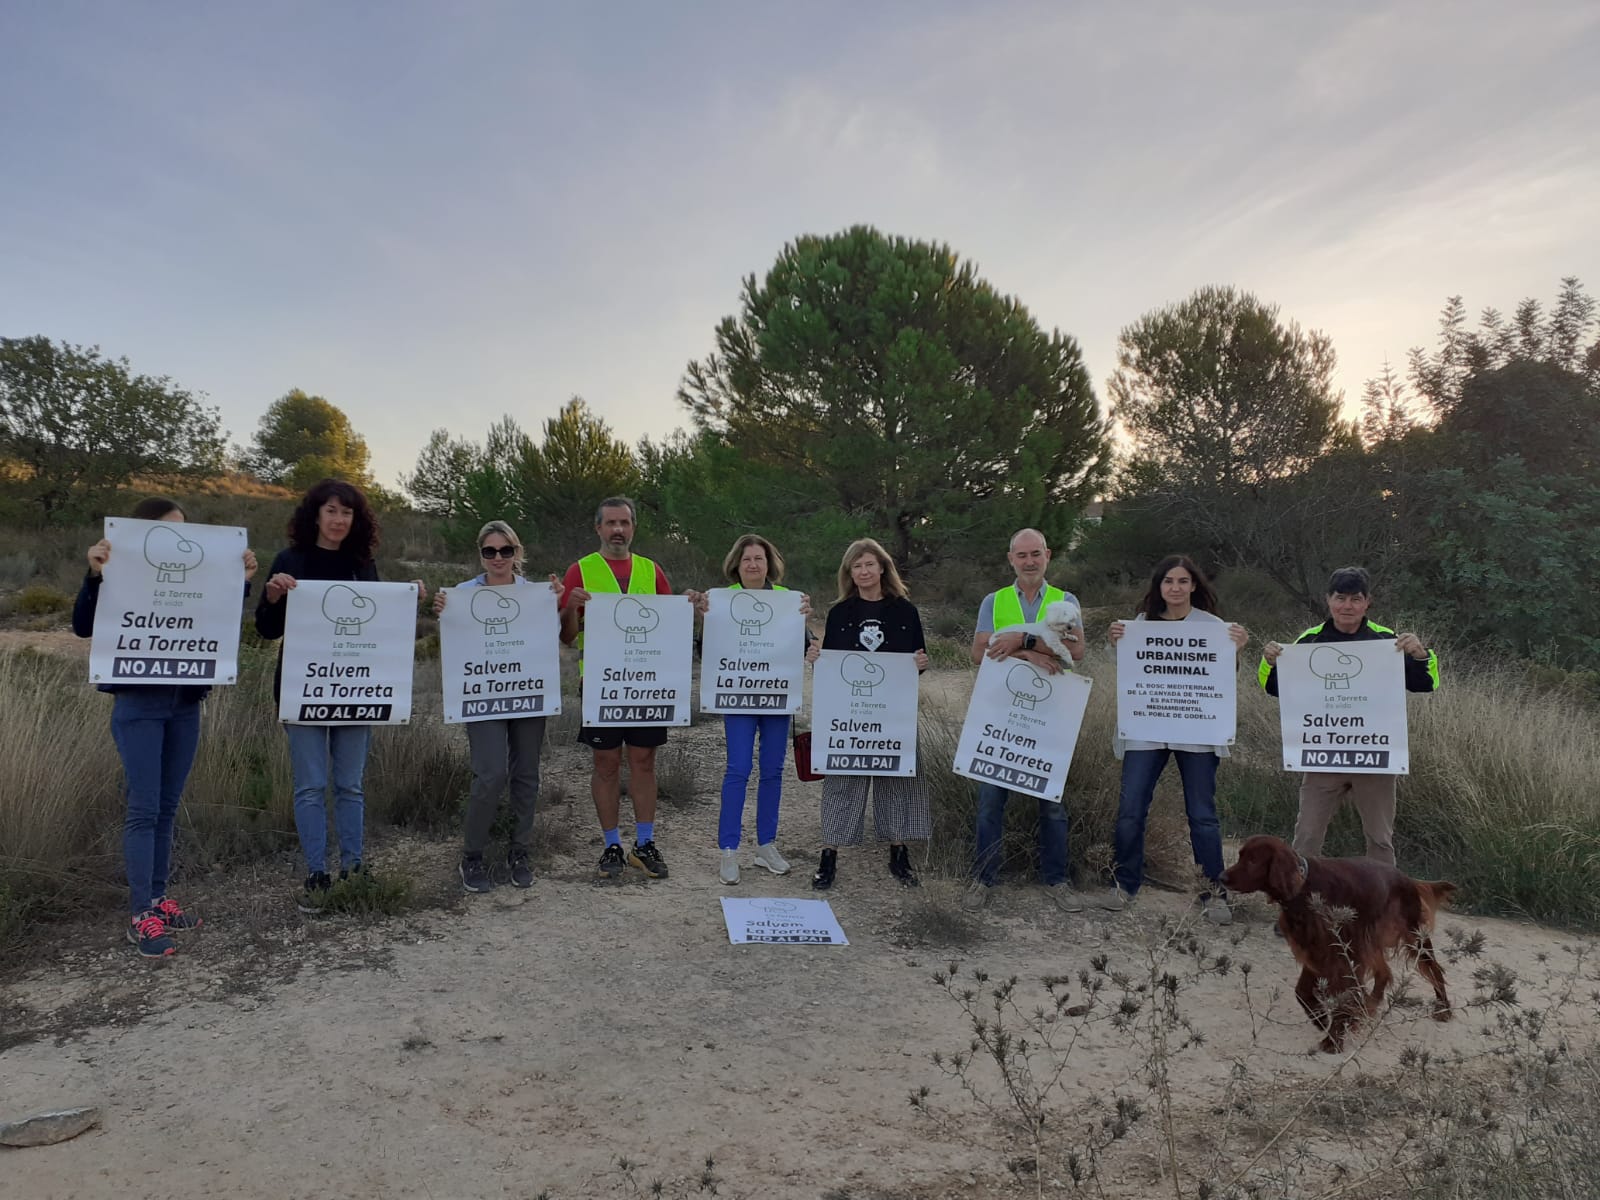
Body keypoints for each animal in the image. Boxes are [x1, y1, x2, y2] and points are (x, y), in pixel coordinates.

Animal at [1216, 838, 1459, 1049]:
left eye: (1253, 860)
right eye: (1241, 855)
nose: (1221, 877)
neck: (1305, 887)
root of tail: (1407, 878)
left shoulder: (1341, 954)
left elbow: (1343, 997)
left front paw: (1333, 1039)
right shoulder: (1316, 949)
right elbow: (1301, 992)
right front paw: (1321, 1019)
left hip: (1412, 935)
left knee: (1434, 969)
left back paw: (1443, 1009)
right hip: (1370, 940)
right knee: (1384, 973)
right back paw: (1368, 1007)